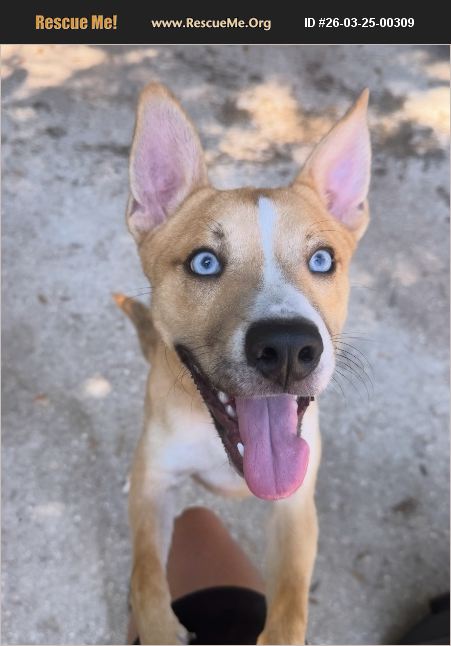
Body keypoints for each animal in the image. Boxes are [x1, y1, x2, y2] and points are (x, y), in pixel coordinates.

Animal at [118, 83, 371, 644]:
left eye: (322, 259)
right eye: (204, 262)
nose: (288, 348)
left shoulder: (295, 508)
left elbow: (291, 606)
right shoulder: (156, 484)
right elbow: (146, 578)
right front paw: (159, 627)